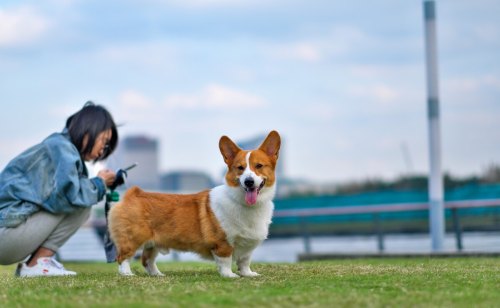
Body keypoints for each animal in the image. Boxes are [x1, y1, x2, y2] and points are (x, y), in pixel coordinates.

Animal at [108, 130, 282, 276]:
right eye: (240, 168)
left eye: (259, 166)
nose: (248, 182)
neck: (246, 205)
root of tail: (133, 193)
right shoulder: (223, 243)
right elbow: (225, 262)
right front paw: (229, 276)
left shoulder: (247, 247)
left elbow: (244, 262)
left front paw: (248, 274)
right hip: (133, 238)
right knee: (123, 257)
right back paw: (127, 274)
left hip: (153, 243)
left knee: (147, 260)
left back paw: (157, 274)